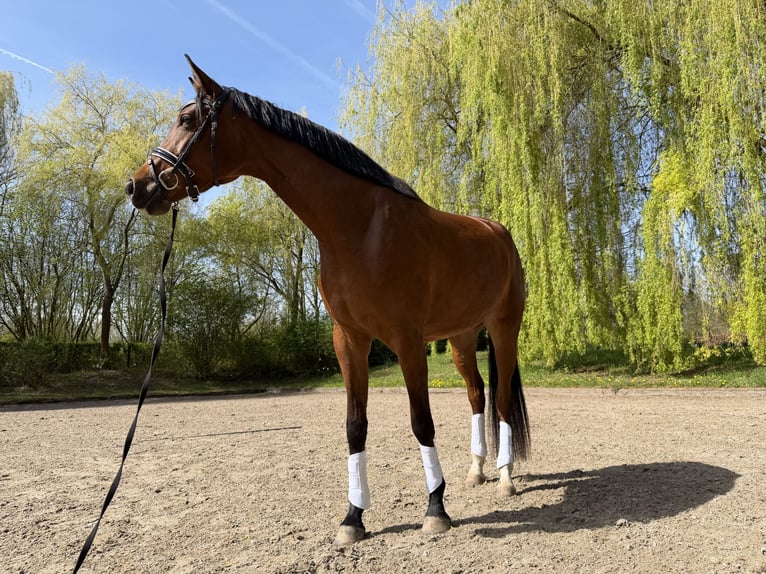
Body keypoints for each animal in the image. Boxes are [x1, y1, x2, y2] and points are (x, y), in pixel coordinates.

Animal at [126, 55, 530, 544]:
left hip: (503, 330)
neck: (360, 228)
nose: (137, 186)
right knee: (476, 394)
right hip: (461, 338)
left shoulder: (407, 340)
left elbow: (421, 421)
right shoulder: (349, 340)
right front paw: (353, 517)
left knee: (502, 400)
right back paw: (476, 470)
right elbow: (355, 426)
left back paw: (505, 477)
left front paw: (436, 508)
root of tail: (499, 231)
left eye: (187, 120)